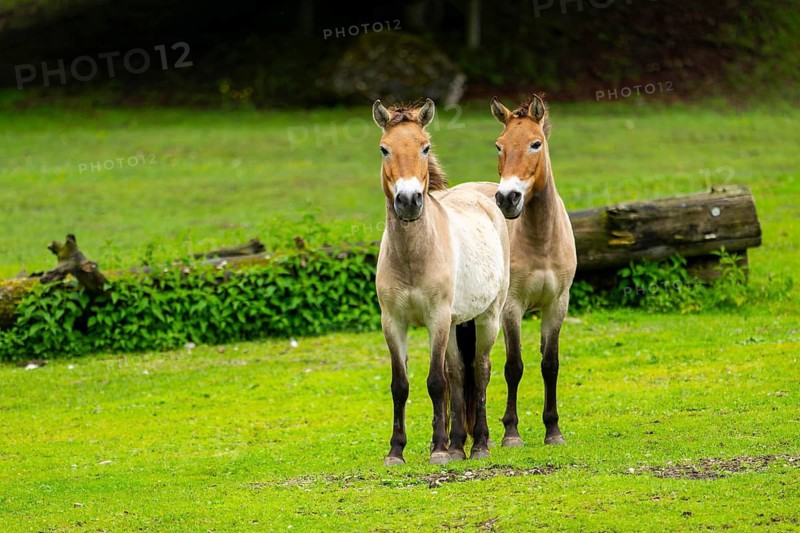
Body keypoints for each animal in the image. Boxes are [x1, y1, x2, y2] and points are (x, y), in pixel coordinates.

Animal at [372, 98, 510, 465]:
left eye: (425, 147)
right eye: (384, 149)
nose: (408, 201)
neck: (413, 256)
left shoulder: (436, 318)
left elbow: (435, 382)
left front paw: (437, 450)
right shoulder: (393, 322)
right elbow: (401, 385)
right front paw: (396, 451)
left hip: (488, 317)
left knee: (481, 370)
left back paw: (479, 444)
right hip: (455, 324)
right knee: (459, 374)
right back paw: (458, 444)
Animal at [455, 93, 577, 446]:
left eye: (536, 143)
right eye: (499, 145)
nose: (508, 198)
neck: (541, 241)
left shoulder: (557, 304)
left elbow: (550, 364)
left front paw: (553, 430)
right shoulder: (511, 307)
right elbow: (514, 366)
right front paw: (511, 432)